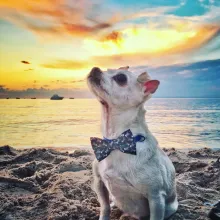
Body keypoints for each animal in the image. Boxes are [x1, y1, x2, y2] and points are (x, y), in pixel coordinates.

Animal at [87, 66, 178, 219]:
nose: (95, 68)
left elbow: (155, 216)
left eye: (121, 78)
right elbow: (105, 207)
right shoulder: (99, 183)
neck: (116, 141)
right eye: (106, 69)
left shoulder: (156, 197)